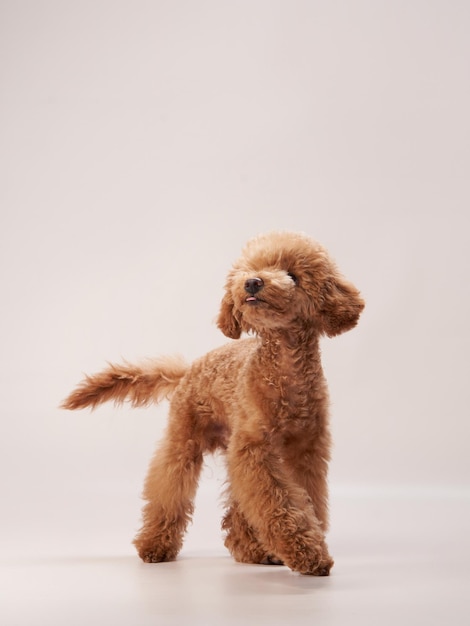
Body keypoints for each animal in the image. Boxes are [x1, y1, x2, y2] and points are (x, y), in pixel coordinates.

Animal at [62, 230, 364, 576]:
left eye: (292, 275)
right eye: (249, 268)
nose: (252, 283)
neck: (283, 370)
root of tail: (189, 369)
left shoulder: (304, 451)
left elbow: (305, 499)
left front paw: (300, 549)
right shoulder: (255, 449)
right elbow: (279, 502)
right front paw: (307, 553)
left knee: (235, 508)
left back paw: (251, 550)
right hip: (184, 440)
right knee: (168, 488)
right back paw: (155, 545)